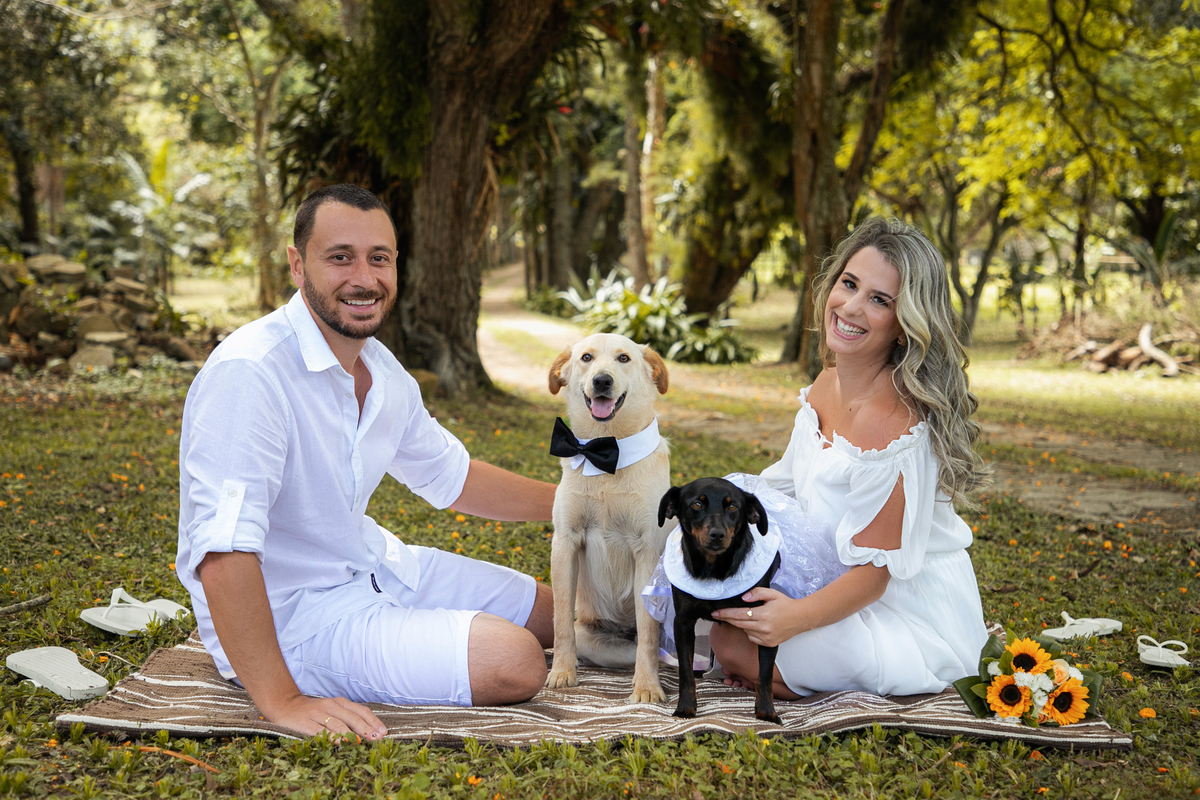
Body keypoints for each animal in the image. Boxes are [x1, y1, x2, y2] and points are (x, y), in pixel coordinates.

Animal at [545, 333, 672, 703]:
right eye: (586, 357)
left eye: (624, 358)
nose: (602, 381)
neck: (605, 453)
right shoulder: (565, 541)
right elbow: (560, 622)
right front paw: (562, 672)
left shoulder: (647, 550)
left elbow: (648, 633)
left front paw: (647, 688)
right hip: (593, 638)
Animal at [657, 477, 782, 723]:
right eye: (697, 504)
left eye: (732, 507)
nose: (717, 534)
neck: (713, 569)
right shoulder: (683, 623)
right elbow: (685, 672)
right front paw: (685, 708)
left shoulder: (767, 623)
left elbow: (765, 674)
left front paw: (767, 713)